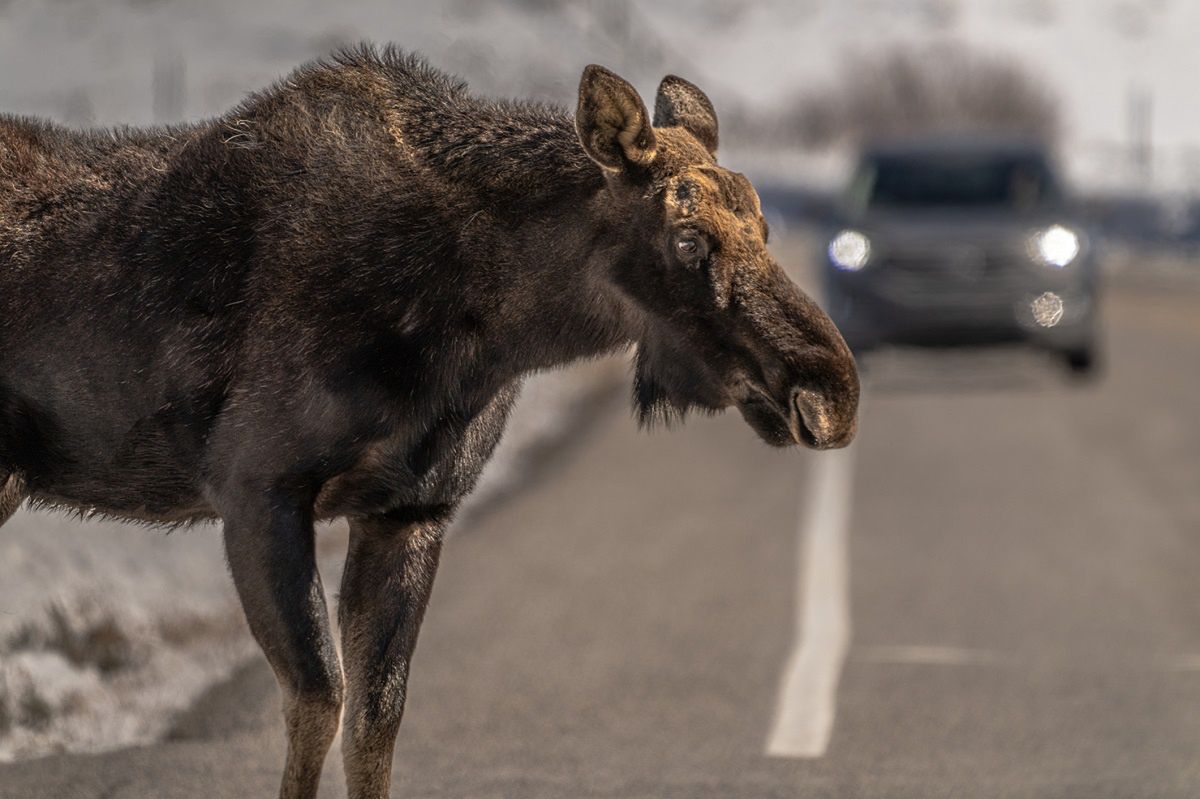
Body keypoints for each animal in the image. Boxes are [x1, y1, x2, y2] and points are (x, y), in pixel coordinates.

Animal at [0, 48, 859, 796]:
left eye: (766, 228)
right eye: (689, 237)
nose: (831, 392)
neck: (486, 328)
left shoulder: (412, 507)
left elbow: (376, 718)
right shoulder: (257, 486)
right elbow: (318, 700)